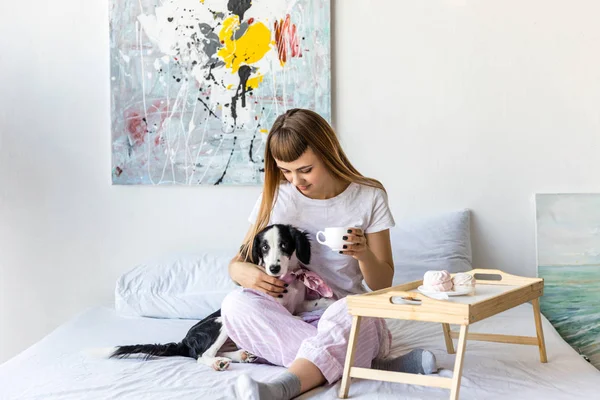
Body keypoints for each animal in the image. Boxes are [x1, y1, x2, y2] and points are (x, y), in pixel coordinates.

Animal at [108, 225, 332, 372]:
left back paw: (240, 355)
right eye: (264, 248)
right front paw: (296, 318)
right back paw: (218, 363)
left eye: (284, 245)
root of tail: (184, 341)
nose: (273, 268)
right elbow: (283, 313)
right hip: (220, 322)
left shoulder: (299, 302)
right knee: (203, 356)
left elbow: (320, 301)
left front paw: (333, 299)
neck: (287, 280)